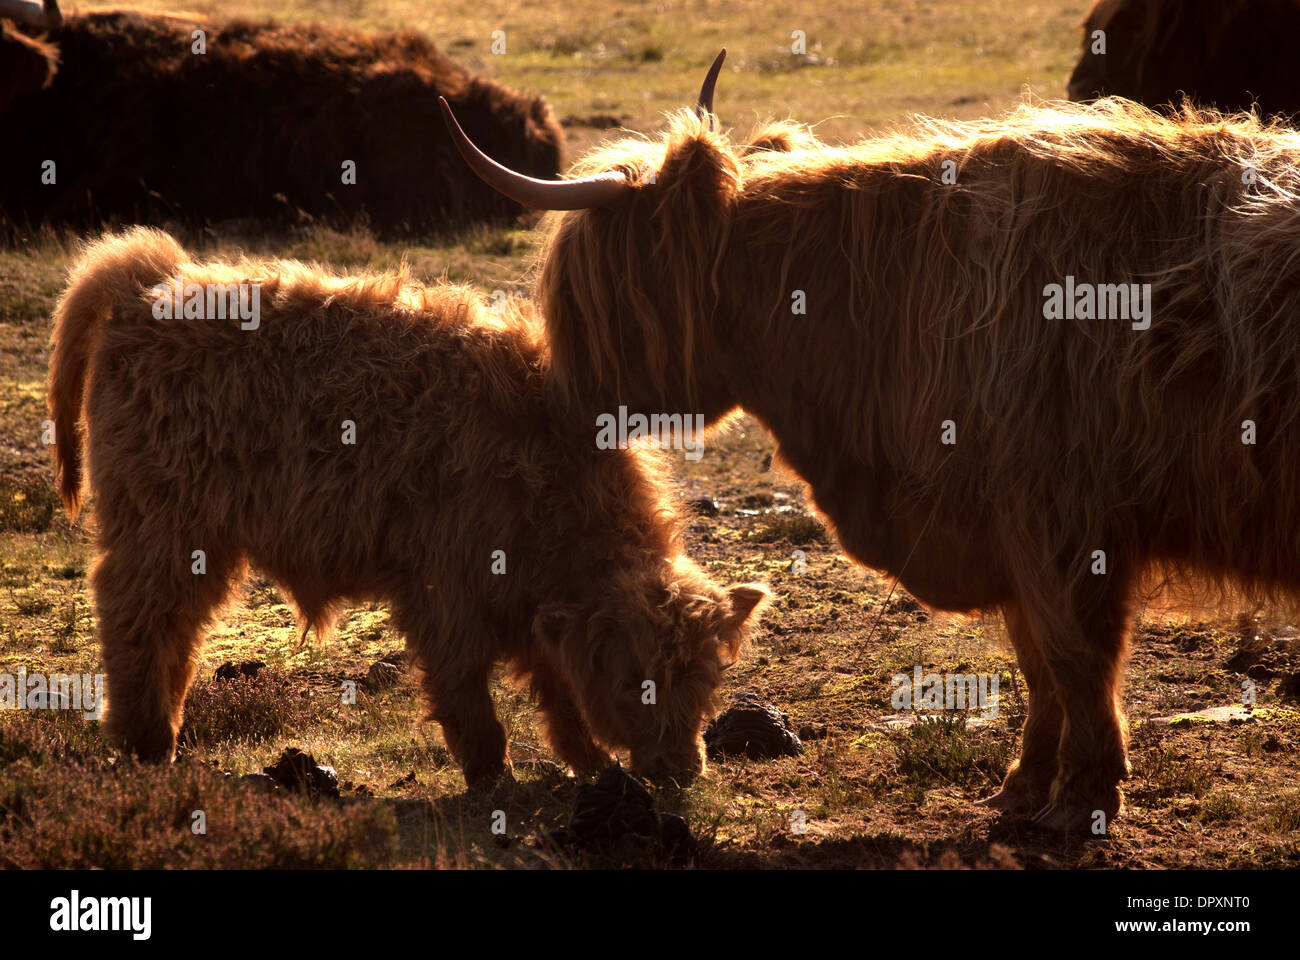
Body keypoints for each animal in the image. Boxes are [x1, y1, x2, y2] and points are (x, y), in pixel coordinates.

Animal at [47, 226, 768, 786]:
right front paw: (492, 776)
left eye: (706, 680)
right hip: (165, 517)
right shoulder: (444, 587)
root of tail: (152, 282)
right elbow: (468, 693)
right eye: (636, 680)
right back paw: (146, 743)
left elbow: (556, 689)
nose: (682, 769)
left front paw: (589, 764)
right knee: (139, 610)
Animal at [443, 60, 1300, 830]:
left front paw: (1081, 800)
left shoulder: (1060, 522)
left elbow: (1074, 659)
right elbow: (1036, 662)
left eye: (583, 294)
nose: (555, 401)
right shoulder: (1010, 530)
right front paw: (1022, 789)